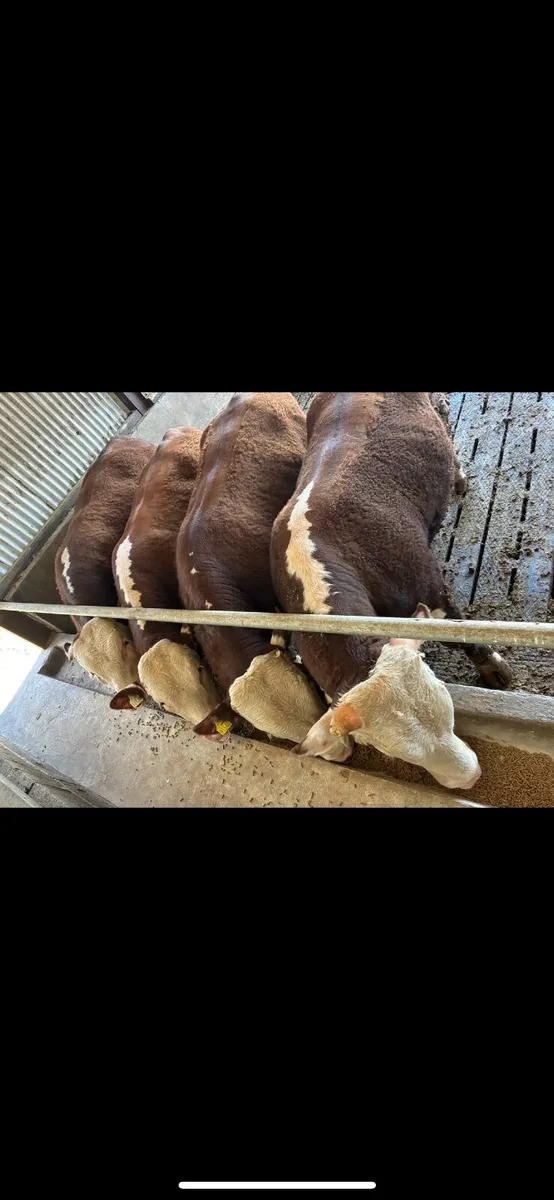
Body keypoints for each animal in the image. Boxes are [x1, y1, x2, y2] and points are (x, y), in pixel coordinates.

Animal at [270, 392, 513, 790]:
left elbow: (463, 635)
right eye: (396, 754)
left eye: (448, 708)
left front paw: (495, 670)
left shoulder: (428, 586)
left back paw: (459, 477)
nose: (472, 776)